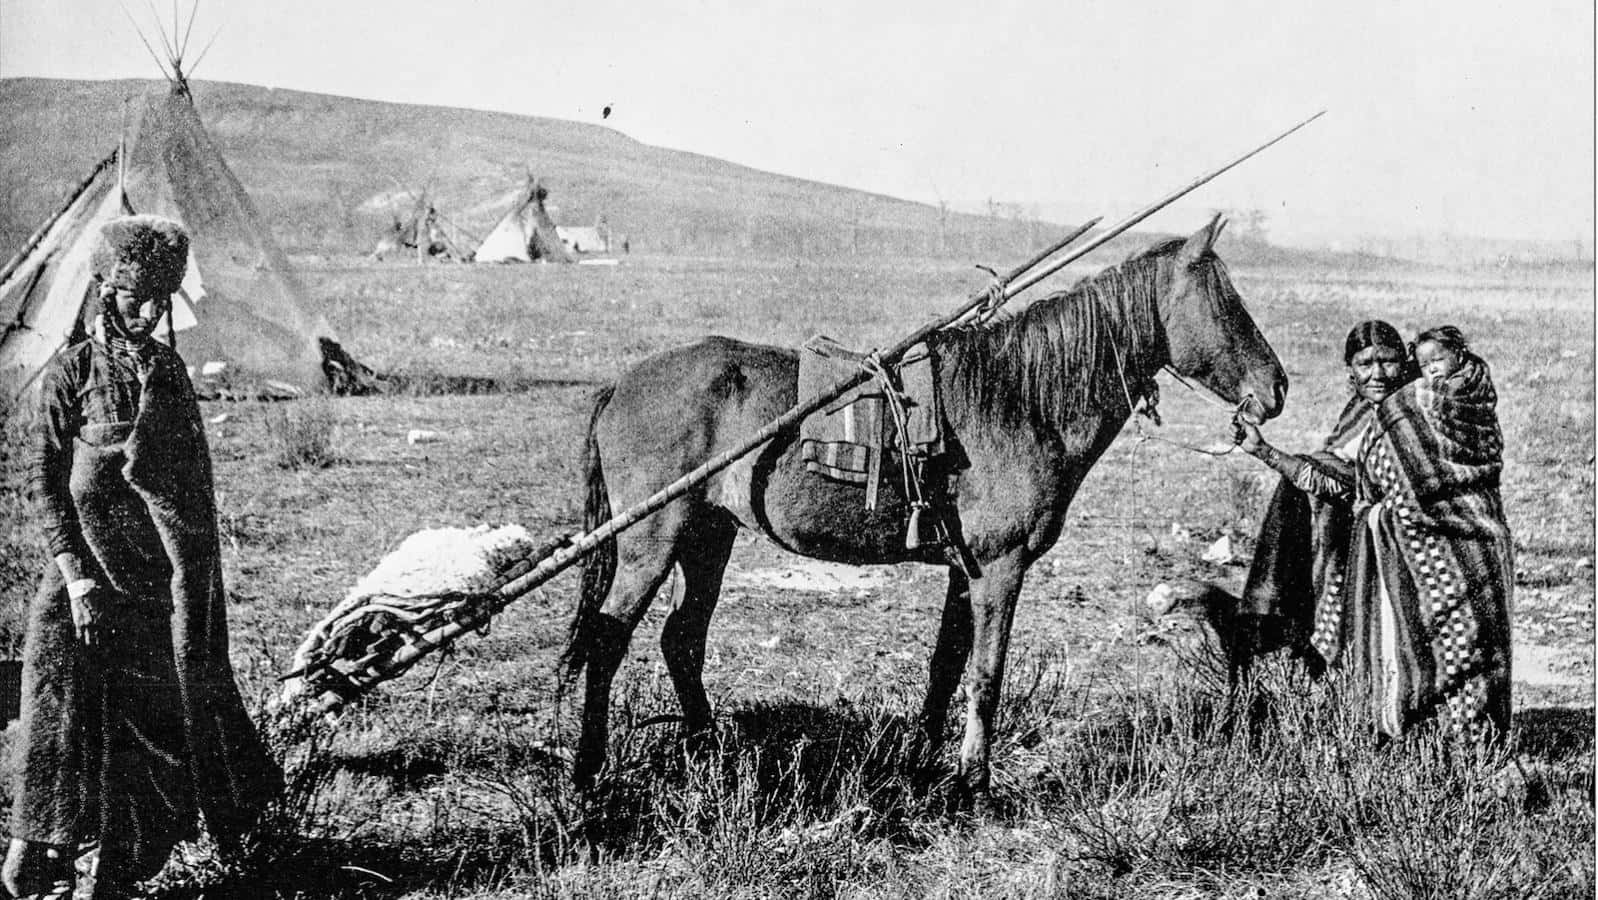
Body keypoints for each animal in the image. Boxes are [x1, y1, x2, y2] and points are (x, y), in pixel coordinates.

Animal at [564, 217, 1287, 802]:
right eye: (1225, 302)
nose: (1276, 388)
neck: (1020, 401)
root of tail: (620, 384)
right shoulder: (1000, 568)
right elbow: (986, 675)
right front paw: (975, 784)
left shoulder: (964, 571)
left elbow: (946, 669)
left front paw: (922, 767)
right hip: (651, 541)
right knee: (608, 637)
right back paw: (589, 772)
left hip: (708, 537)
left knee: (681, 638)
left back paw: (712, 753)